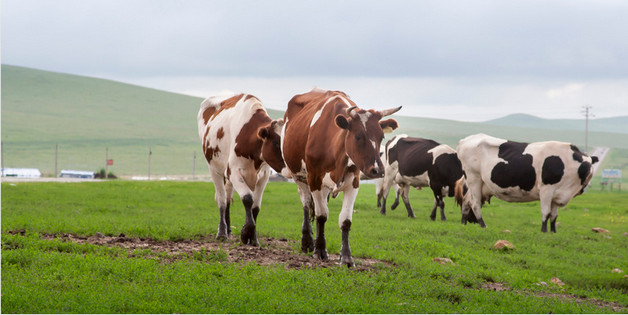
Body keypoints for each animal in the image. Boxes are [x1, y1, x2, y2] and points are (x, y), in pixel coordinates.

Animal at [197, 92, 286, 246]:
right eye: (276, 142)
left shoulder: (263, 176)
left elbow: (255, 207)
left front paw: (253, 238)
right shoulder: (234, 172)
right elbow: (248, 199)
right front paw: (245, 233)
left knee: (227, 198)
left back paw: (228, 230)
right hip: (214, 170)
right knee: (221, 199)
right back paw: (222, 233)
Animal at [282, 88, 400, 266]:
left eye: (382, 137)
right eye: (358, 136)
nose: (378, 170)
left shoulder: (354, 183)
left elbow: (345, 220)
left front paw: (346, 257)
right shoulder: (314, 179)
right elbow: (321, 215)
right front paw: (320, 250)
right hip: (298, 176)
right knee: (306, 204)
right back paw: (308, 241)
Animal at [456, 132, 600, 233]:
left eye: (590, 165)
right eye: (586, 166)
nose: (589, 174)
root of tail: (465, 140)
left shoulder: (557, 194)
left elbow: (554, 216)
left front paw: (553, 232)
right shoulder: (546, 189)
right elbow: (546, 212)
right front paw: (543, 231)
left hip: (481, 186)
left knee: (466, 201)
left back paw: (463, 223)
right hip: (474, 178)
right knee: (475, 204)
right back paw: (483, 225)